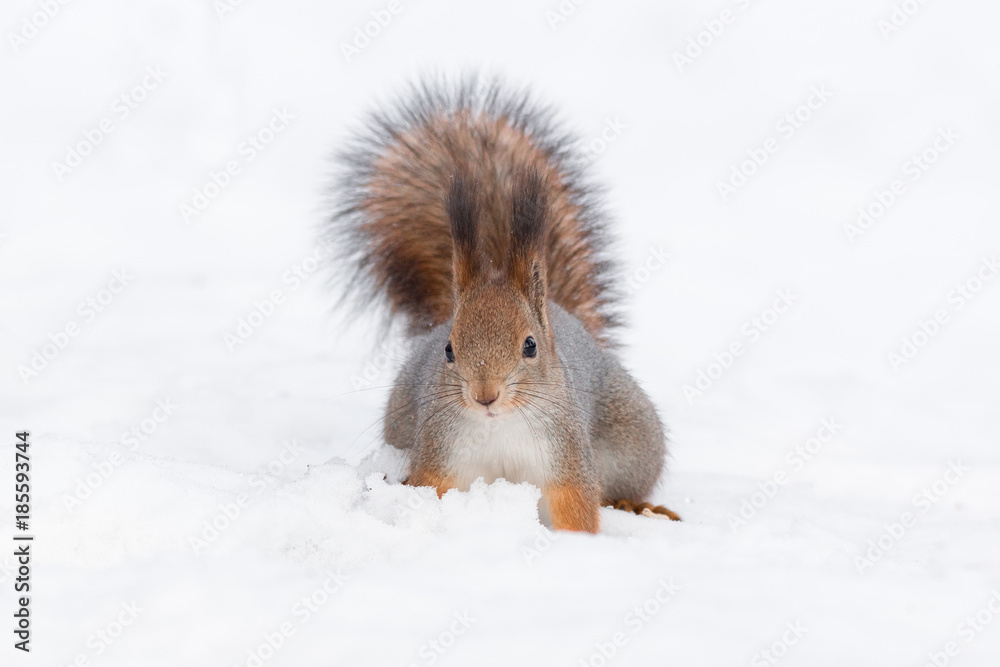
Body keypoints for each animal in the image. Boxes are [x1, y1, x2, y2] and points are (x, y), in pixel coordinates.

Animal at [327, 75, 678, 532]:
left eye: (530, 346)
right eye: (449, 350)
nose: (485, 396)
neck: (499, 427)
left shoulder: (564, 456)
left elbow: (576, 503)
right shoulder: (442, 450)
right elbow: (430, 487)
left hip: (633, 442)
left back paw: (637, 506)